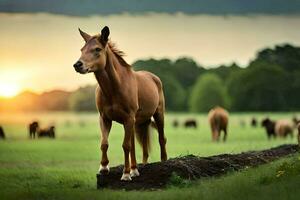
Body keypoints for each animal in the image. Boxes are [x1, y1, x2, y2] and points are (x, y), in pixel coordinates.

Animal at [72, 25, 166, 180]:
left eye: (97, 49)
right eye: (82, 49)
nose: (77, 65)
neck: (115, 88)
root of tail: (154, 77)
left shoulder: (128, 118)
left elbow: (126, 146)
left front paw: (125, 174)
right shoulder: (105, 118)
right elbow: (105, 143)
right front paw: (104, 168)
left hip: (158, 115)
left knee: (161, 139)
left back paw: (163, 162)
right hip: (136, 122)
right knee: (139, 144)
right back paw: (136, 169)